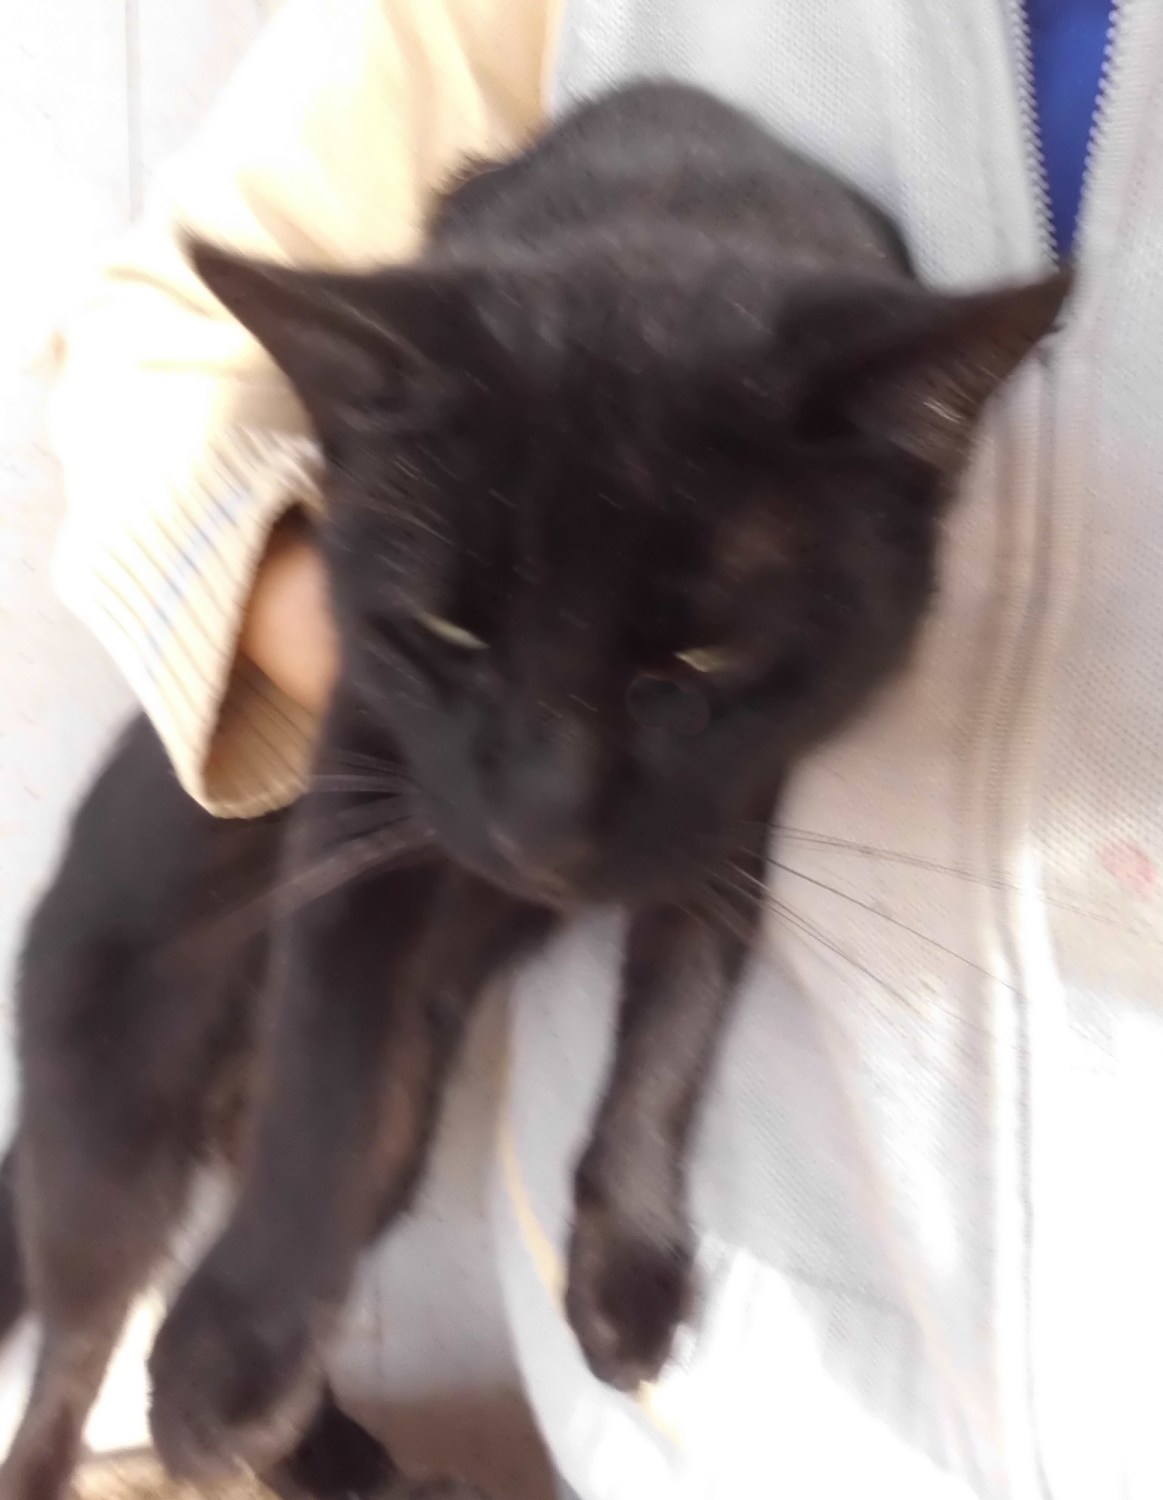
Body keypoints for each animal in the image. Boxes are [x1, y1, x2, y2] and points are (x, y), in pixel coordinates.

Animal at [0, 81, 1066, 1500]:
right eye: (448, 631)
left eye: (701, 661)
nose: (540, 834)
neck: (668, 186)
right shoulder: (367, 762)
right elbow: (328, 1054)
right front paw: (235, 1349)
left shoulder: (727, 803)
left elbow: (673, 1017)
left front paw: (625, 1263)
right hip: (111, 1142)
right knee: (71, 1357)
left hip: (392, 1131)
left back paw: (337, 1456)